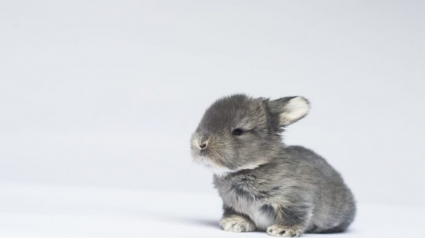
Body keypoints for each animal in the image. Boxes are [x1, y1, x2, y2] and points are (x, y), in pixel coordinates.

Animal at [189, 94, 354, 236]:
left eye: (238, 131)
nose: (201, 143)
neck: (253, 167)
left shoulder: (294, 200)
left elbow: (294, 215)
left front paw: (283, 230)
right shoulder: (231, 204)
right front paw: (235, 223)